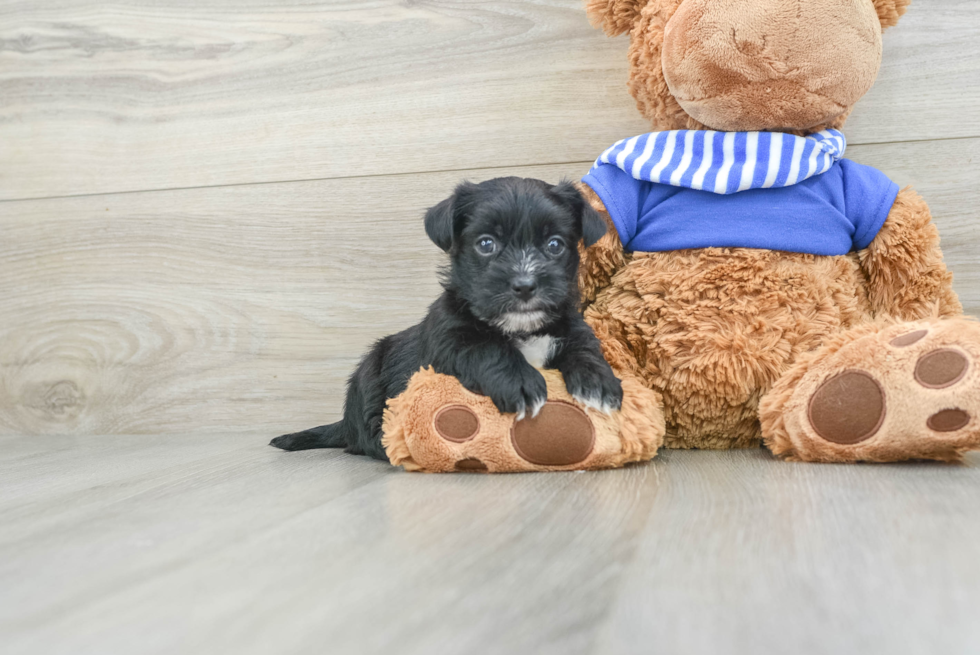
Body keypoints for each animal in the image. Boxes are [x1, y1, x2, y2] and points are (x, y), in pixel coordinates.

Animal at [268, 176, 620, 462]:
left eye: (555, 244)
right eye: (486, 244)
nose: (524, 285)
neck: (520, 328)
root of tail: (345, 423)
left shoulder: (572, 328)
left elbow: (586, 349)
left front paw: (599, 384)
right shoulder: (451, 339)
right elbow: (488, 349)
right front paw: (521, 383)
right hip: (368, 373)